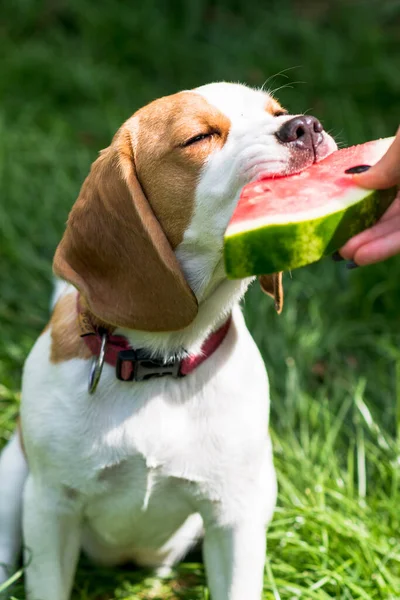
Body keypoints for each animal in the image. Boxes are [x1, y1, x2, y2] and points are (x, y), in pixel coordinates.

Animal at [0, 81, 338, 600]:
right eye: (198, 137)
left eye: (277, 112)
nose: (305, 125)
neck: (159, 363)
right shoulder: (50, 509)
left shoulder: (234, 520)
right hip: (12, 478)